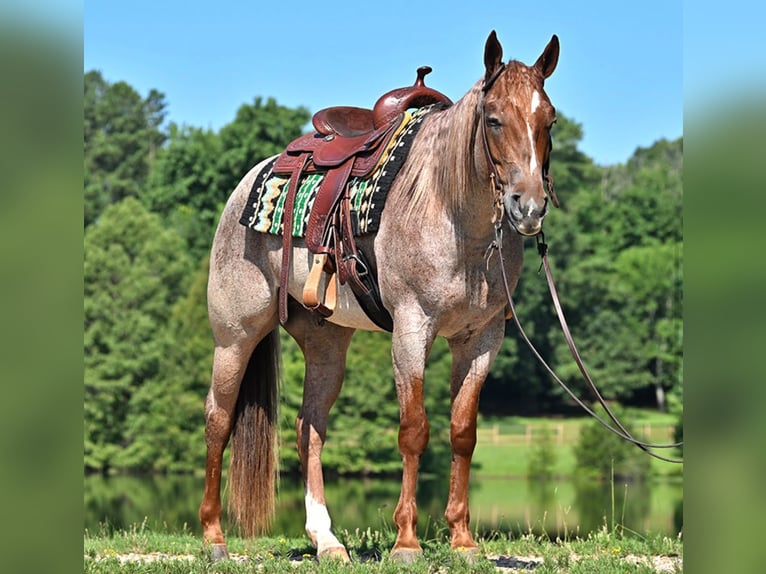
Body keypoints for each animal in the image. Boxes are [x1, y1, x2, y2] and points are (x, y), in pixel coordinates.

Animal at [198, 30, 560, 562]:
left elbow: (463, 432)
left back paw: (326, 540)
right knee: (218, 419)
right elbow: (414, 430)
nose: (529, 206)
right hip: (235, 335)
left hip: (326, 343)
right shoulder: (411, 328)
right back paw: (213, 536)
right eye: (494, 119)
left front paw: (462, 539)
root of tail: (247, 183)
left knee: (310, 429)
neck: (449, 209)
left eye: (548, 120)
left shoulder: (482, 338)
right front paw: (406, 540)